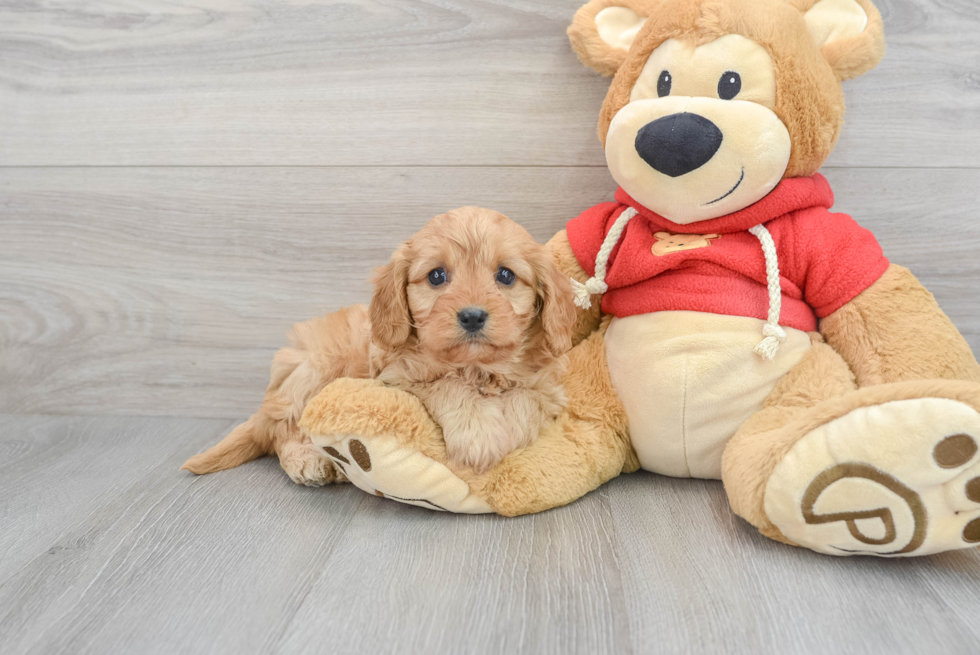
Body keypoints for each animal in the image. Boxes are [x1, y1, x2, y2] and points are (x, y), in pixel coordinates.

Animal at [186, 208, 576, 484]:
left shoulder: (549, 389)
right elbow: (448, 384)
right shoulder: (397, 378)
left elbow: (525, 399)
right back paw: (308, 460)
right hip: (314, 369)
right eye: (437, 276)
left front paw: (506, 432)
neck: (477, 366)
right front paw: (478, 434)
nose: (472, 316)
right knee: (284, 429)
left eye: (505, 275)